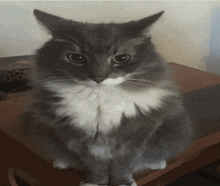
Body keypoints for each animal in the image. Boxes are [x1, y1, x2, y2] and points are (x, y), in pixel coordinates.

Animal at [20, 9, 192, 186]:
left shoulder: (137, 136)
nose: (98, 78)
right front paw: (94, 182)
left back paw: (158, 163)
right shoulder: (78, 139)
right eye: (76, 58)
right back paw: (61, 162)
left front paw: (123, 182)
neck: (100, 101)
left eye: (121, 58)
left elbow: (124, 165)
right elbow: (96, 166)